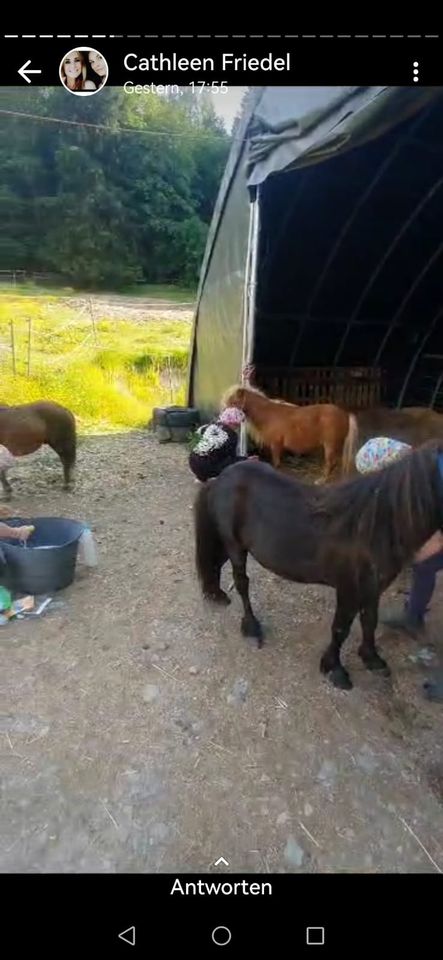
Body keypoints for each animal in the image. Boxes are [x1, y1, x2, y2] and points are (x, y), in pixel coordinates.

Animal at [195, 438, 443, 692]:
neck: (372, 527)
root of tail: (222, 477)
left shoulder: (373, 589)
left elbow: (369, 621)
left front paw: (371, 658)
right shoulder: (348, 590)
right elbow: (341, 628)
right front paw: (334, 669)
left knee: (217, 566)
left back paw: (216, 594)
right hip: (236, 547)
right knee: (242, 584)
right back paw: (252, 627)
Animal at [224, 386, 360, 484]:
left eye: (233, 402)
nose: (224, 418)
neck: (268, 414)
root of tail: (345, 414)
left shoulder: (276, 444)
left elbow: (276, 462)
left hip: (330, 445)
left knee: (330, 463)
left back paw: (321, 481)